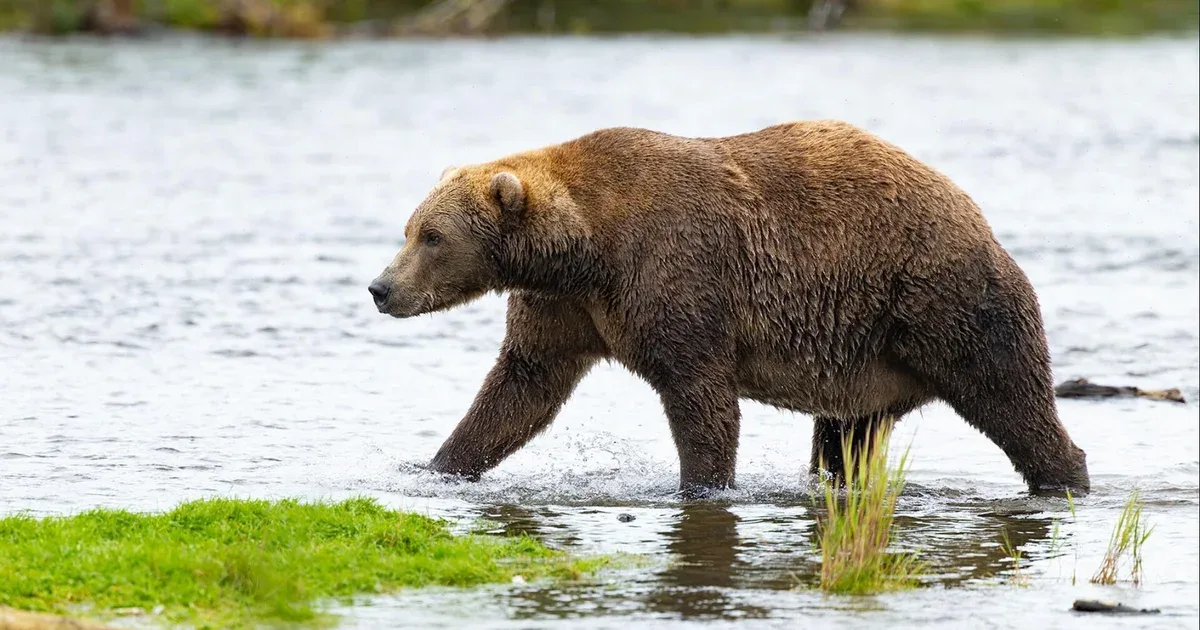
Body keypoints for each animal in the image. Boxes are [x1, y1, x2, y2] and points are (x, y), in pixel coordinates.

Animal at [368, 120, 1091, 498]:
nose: (380, 287)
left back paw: (1064, 477)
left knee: (1008, 394)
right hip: (861, 357)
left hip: (941, 302)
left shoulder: (676, 275)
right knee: (845, 437)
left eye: (432, 236)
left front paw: (702, 485)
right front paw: (437, 466)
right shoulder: (564, 308)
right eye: (409, 229)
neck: (584, 248)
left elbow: (700, 397)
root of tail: (977, 217)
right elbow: (519, 388)